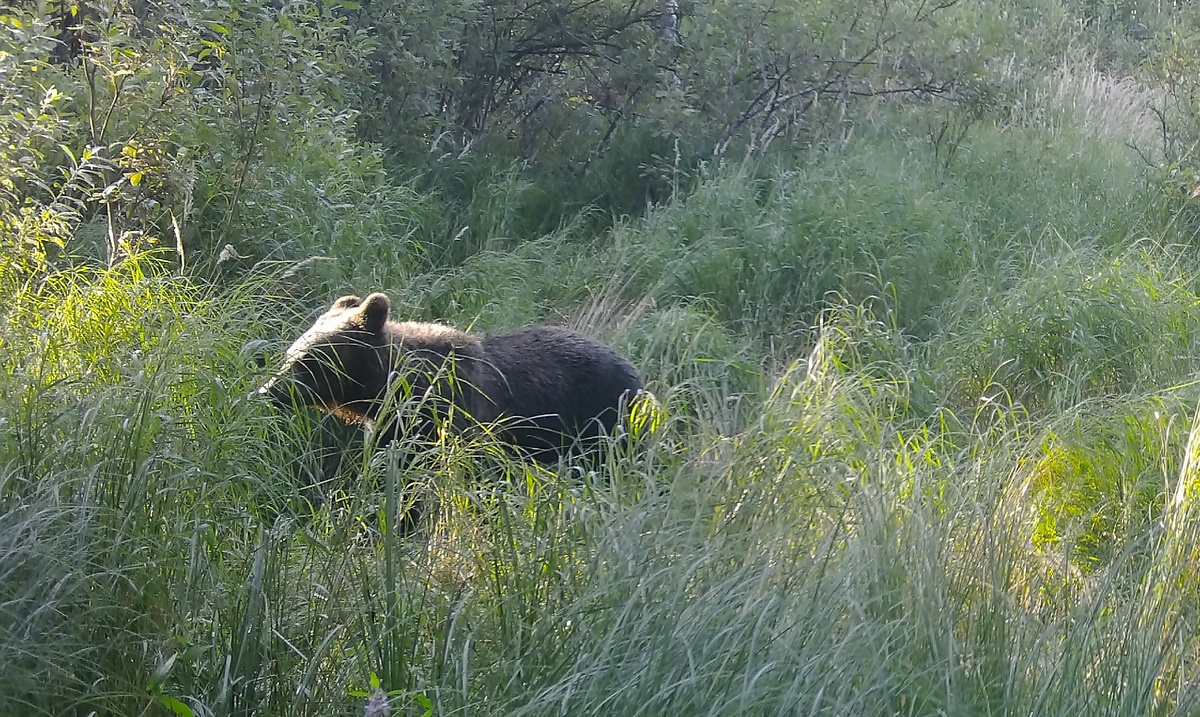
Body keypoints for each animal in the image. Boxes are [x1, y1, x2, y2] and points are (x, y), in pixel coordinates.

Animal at [258, 292, 643, 460]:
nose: (269, 390)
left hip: (600, 420)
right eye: (291, 352)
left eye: (308, 359)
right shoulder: (389, 431)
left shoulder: (455, 420)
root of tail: (636, 372)